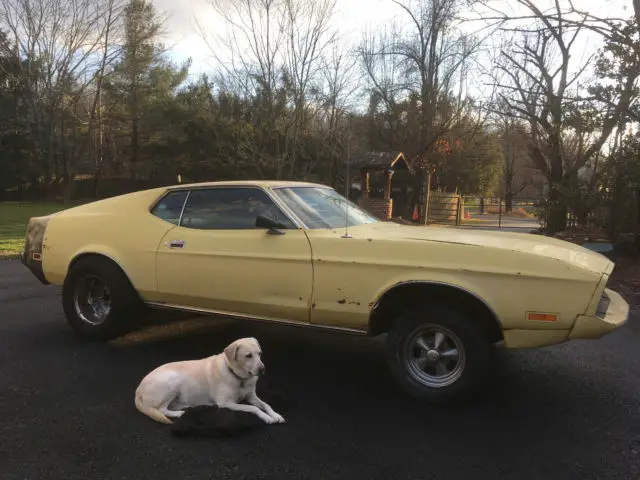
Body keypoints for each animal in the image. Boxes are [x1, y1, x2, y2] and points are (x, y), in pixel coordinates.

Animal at [133, 336, 284, 426]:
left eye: (260, 354)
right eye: (248, 356)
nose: (263, 369)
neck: (239, 377)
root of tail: (137, 390)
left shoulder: (251, 396)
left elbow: (266, 405)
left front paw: (276, 415)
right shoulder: (226, 403)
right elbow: (253, 408)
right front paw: (267, 418)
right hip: (171, 381)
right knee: (161, 410)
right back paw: (178, 413)